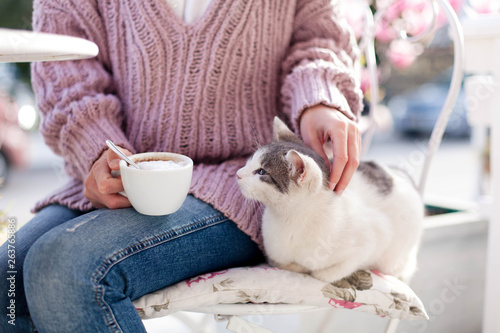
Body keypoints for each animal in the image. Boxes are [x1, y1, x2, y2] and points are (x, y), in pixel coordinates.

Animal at [236, 115, 424, 282]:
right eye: (251, 160)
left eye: (261, 171)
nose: (237, 174)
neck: (290, 219)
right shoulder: (276, 255)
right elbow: (283, 263)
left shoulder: (374, 236)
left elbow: (326, 274)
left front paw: (317, 271)